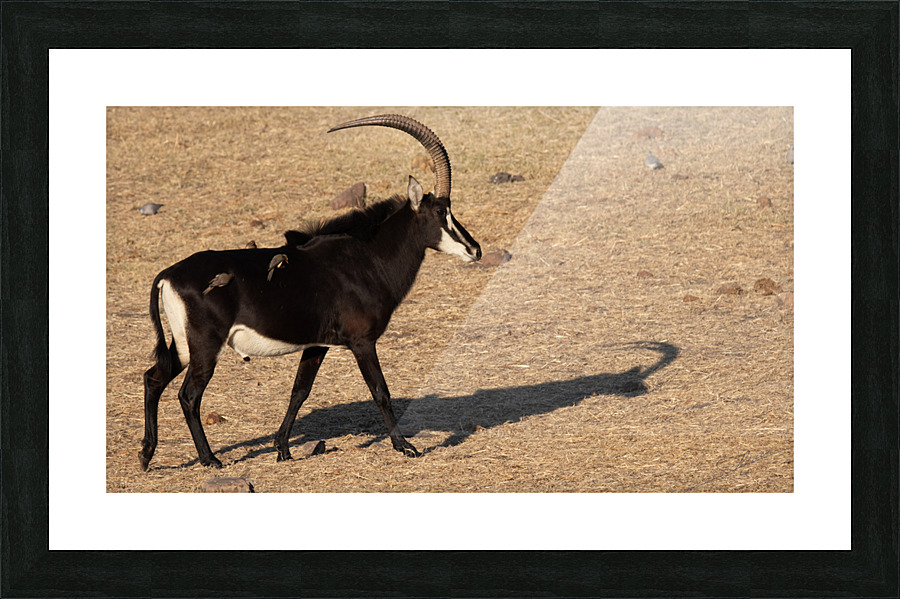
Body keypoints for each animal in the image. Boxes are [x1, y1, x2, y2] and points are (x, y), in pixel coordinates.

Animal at [139, 115, 481, 470]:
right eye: (440, 214)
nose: (475, 250)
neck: (368, 257)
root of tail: (167, 275)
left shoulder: (317, 345)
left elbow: (299, 391)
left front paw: (282, 449)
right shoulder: (362, 342)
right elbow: (380, 391)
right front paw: (404, 446)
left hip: (183, 345)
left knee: (153, 378)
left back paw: (147, 454)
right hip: (206, 346)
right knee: (189, 395)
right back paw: (209, 458)